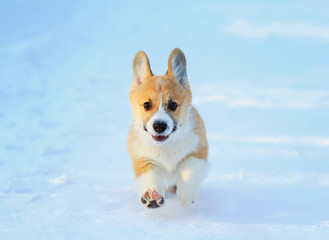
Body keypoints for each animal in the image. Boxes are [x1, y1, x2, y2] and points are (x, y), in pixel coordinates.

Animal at [126, 48, 208, 208]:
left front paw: (187, 195)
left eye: (173, 105)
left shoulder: (198, 151)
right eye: (147, 105)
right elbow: (151, 175)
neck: (166, 145)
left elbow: (189, 170)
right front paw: (152, 195)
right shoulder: (142, 158)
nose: (159, 126)